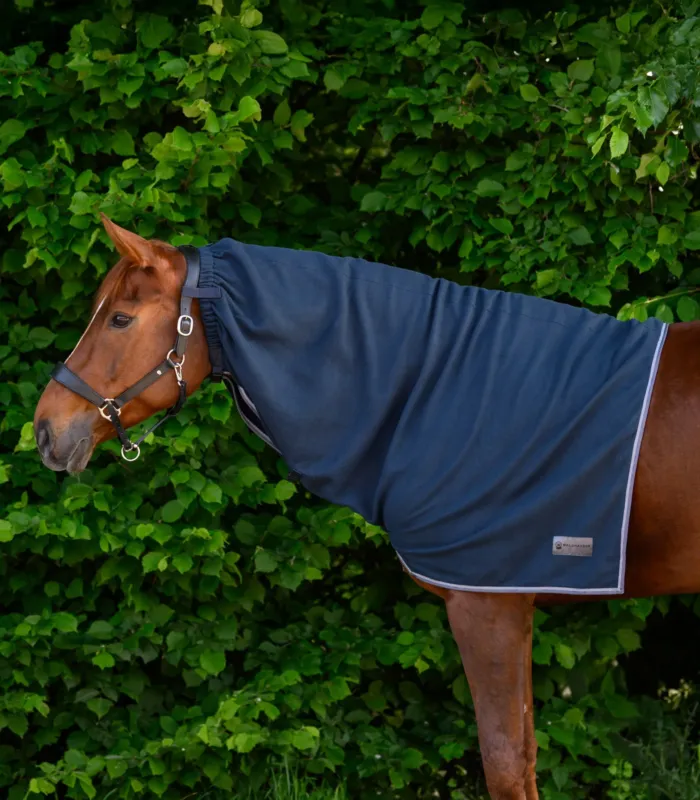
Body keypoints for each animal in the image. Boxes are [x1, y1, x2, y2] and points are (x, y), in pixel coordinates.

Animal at [33, 216, 700, 800]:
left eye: (120, 318)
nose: (45, 430)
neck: (437, 385)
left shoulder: (488, 606)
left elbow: (507, 763)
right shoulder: (510, 604)